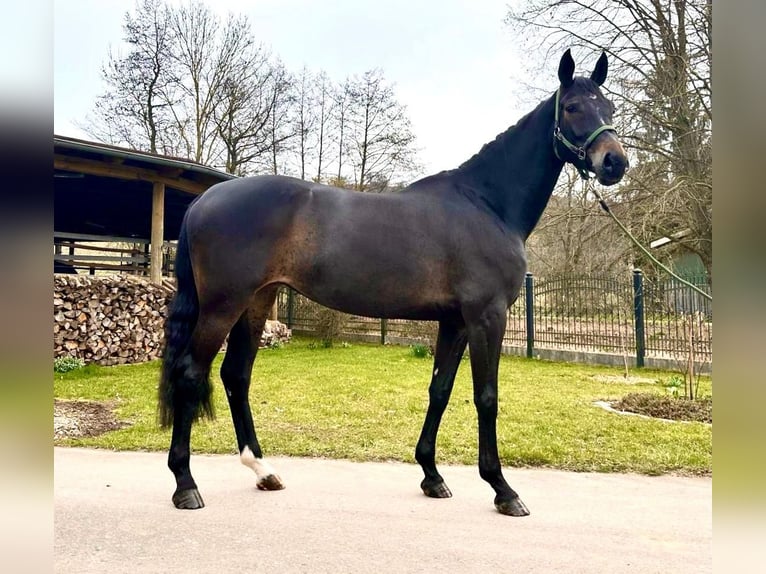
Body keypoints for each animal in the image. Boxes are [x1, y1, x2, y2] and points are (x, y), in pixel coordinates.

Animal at [159, 49, 628, 516]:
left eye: (610, 108)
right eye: (573, 107)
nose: (615, 163)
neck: (487, 204)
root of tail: (204, 199)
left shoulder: (455, 322)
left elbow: (440, 390)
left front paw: (432, 476)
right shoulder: (487, 317)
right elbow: (486, 396)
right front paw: (502, 489)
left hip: (256, 301)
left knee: (236, 375)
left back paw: (263, 471)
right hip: (222, 306)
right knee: (191, 373)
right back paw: (185, 484)